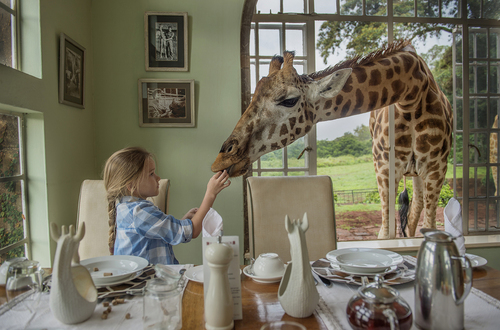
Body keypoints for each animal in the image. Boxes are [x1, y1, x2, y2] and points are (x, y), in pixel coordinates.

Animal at [211, 40, 454, 240]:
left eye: (289, 100)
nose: (221, 160)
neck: (412, 93)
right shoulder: (384, 167)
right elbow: (386, 233)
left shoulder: (437, 169)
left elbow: (426, 226)